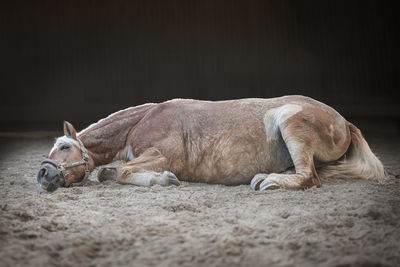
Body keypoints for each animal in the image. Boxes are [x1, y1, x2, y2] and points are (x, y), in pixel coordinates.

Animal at [36, 96, 386, 193]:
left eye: (65, 147)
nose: (43, 173)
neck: (143, 119)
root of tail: (343, 121)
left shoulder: (161, 155)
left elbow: (122, 171)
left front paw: (164, 180)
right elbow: (107, 172)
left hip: (291, 124)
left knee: (308, 176)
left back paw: (268, 181)